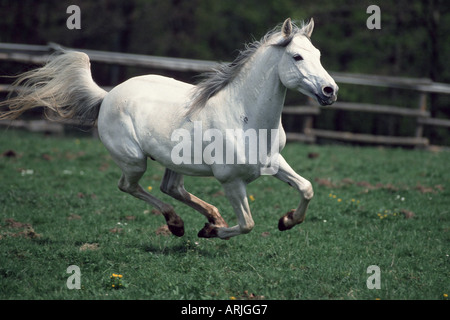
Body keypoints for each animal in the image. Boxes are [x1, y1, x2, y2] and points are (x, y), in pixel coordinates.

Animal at [0, 17, 338, 238]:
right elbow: (247, 224)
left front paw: (286, 221)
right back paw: (179, 225)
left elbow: (307, 188)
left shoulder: (273, 161)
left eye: (320, 55)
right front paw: (210, 233)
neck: (244, 117)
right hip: (134, 161)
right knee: (129, 186)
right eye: (297, 56)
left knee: (171, 187)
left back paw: (211, 217)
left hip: (174, 160)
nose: (330, 91)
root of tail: (107, 96)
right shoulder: (231, 180)